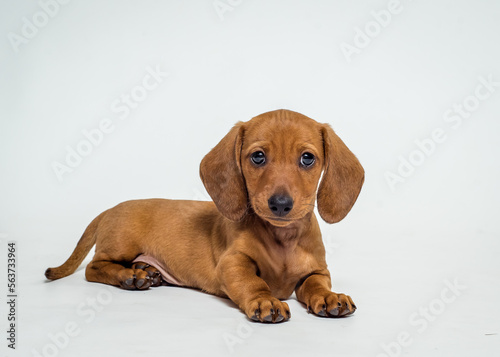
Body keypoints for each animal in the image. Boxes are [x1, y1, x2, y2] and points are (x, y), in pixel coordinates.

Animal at [46, 109, 364, 322]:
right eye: (258, 156)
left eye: (307, 158)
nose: (281, 204)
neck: (282, 240)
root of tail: (108, 210)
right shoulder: (233, 263)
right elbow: (253, 282)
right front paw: (265, 300)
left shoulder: (317, 270)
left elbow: (315, 284)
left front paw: (329, 297)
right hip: (121, 245)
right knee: (93, 267)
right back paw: (129, 276)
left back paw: (147, 272)